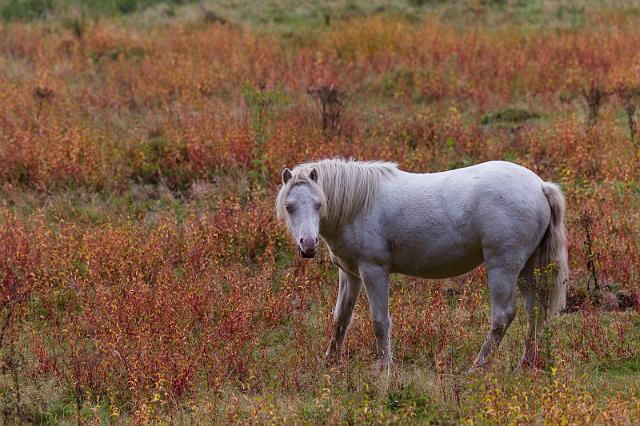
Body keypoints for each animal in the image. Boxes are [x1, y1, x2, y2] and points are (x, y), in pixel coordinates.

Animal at [278, 158, 568, 372]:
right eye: (290, 206)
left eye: (319, 204)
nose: (308, 244)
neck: (358, 205)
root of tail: (540, 186)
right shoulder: (350, 274)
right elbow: (341, 318)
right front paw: (328, 362)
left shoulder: (373, 271)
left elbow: (380, 321)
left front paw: (383, 368)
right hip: (528, 268)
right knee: (534, 312)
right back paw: (525, 364)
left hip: (502, 266)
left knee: (503, 316)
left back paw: (476, 367)